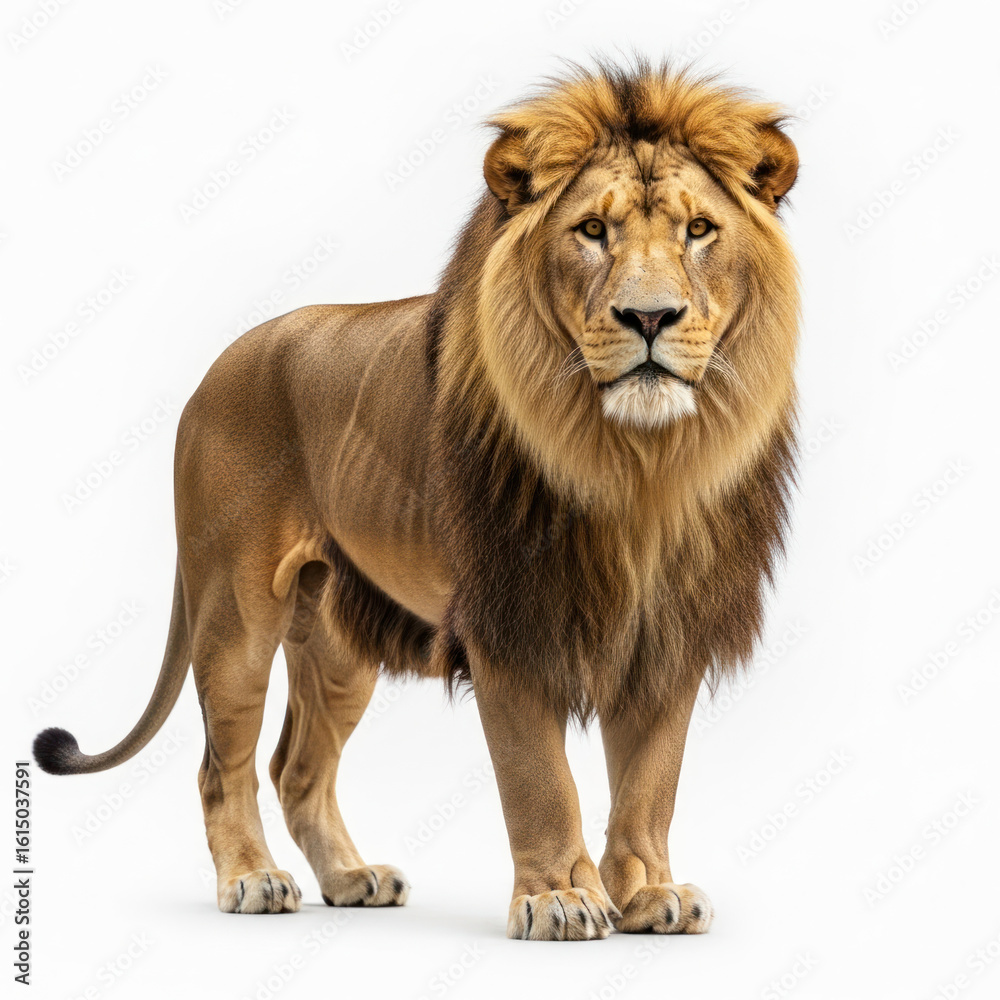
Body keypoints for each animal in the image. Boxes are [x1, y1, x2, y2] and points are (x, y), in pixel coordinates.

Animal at [34, 59, 800, 941]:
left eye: (700, 230)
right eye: (591, 231)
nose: (649, 316)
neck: (639, 464)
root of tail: (218, 366)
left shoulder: (670, 629)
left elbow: (651, 782)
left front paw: (648, 894)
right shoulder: (510, 621)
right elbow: (540, 778)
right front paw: (558, 898)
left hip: (337, 642)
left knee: (297, 767)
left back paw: (350, 877)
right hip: (234, 611)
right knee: (223, 765)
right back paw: (252, 879)